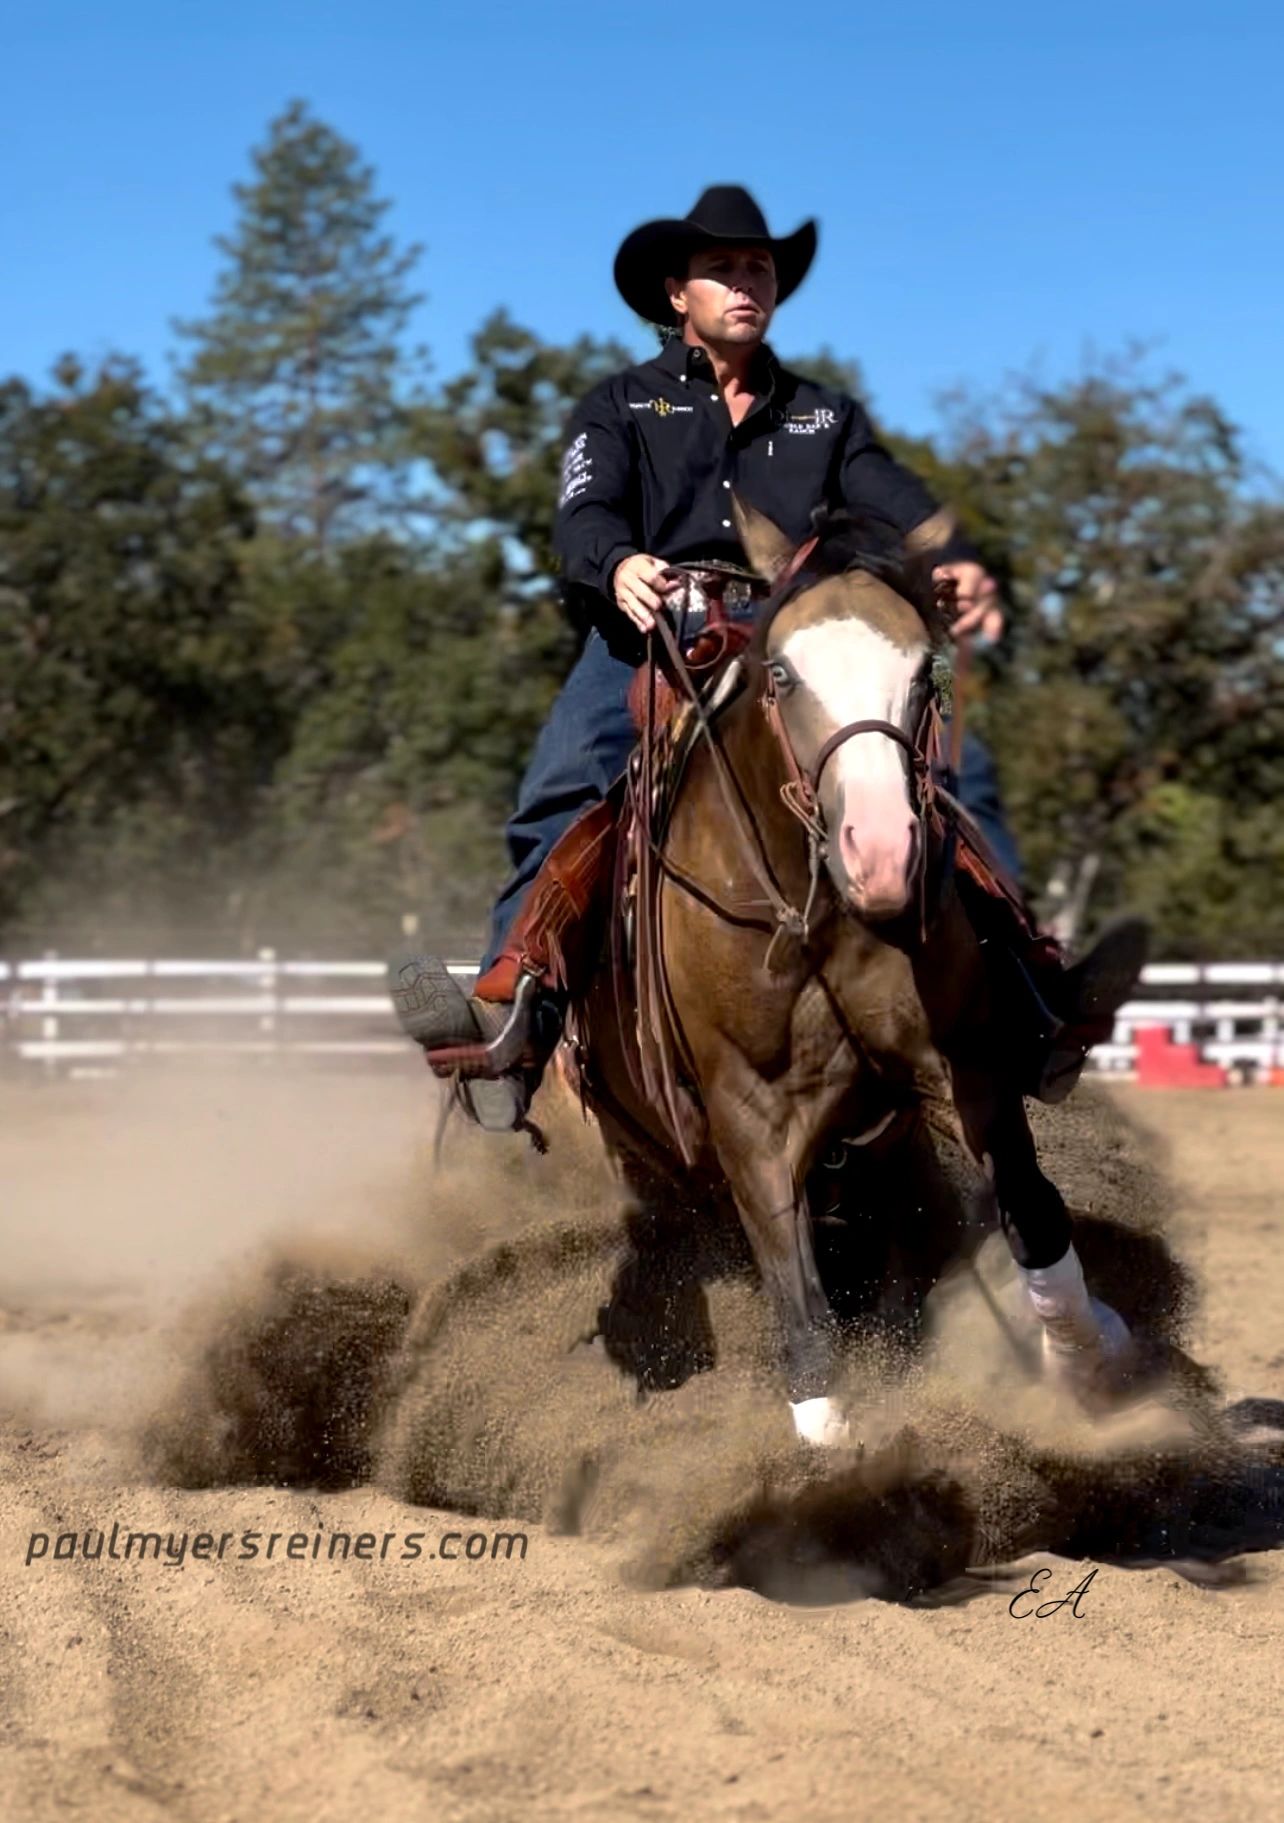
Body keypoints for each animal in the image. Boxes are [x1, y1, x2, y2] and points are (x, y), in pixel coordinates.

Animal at [565, 499, 1135, 1445]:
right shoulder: (748, 1124)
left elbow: (1033, 1211)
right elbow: (804, 1324)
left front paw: (1090, 1362)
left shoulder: (964, 1069)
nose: (881, 855)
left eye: (925, 672)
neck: (819, 920)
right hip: (643, 1153)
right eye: (783, 673)